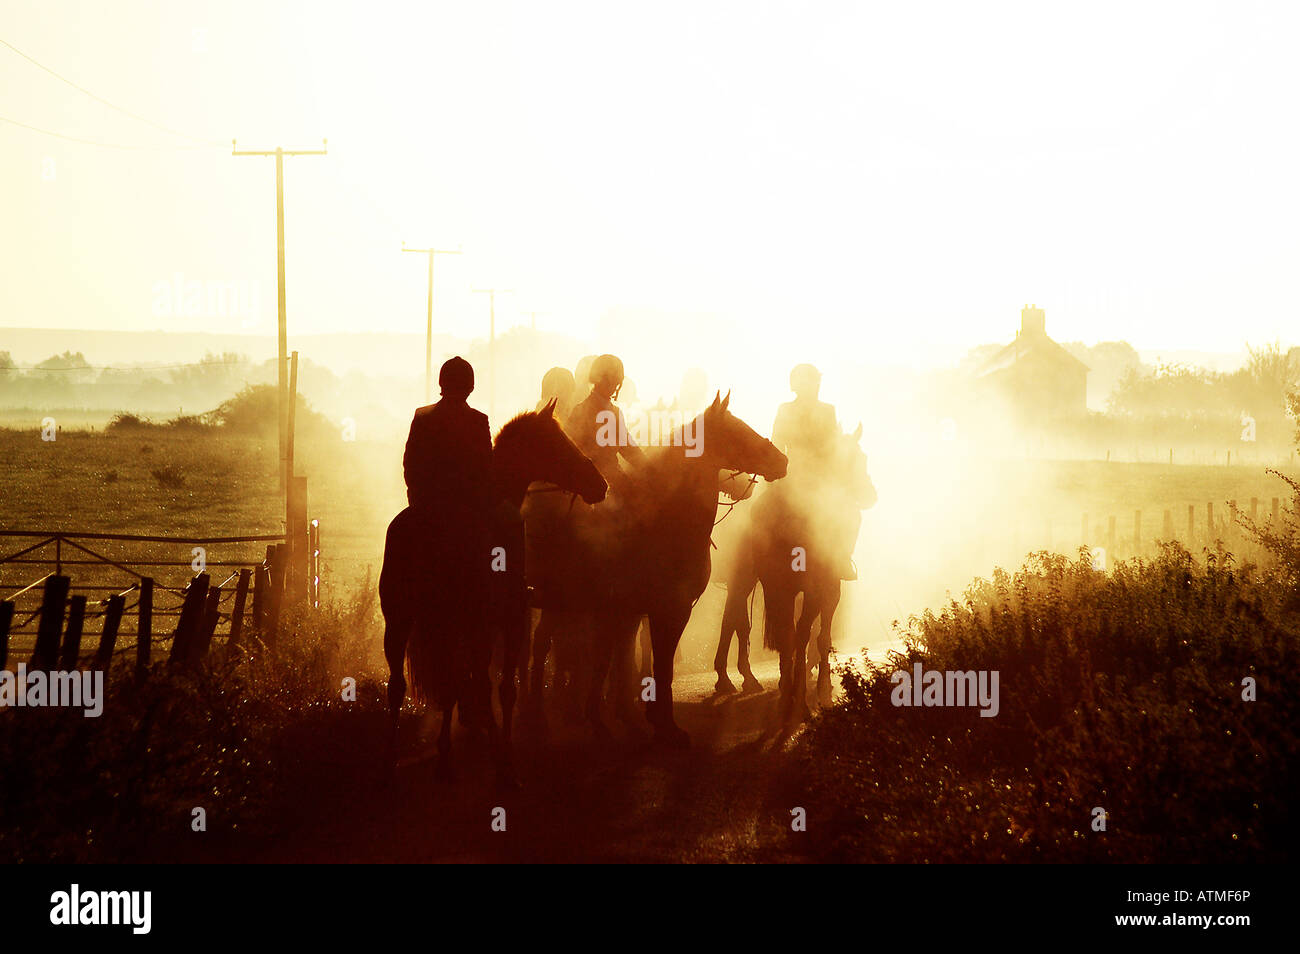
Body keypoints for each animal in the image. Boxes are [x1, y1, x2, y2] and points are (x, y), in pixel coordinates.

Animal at [382, 402, 605, 785]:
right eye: (558, 441)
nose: (599, 483)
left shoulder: (506, 621)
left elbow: (502, 688)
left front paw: (504, 759)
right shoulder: (478, 624)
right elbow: (474, 685)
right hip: (402, 623)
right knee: (403, 686)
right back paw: (396, 760)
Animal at [525, 392, 780, 748]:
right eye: (737, 431)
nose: (782, 461)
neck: (668, 520)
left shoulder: (633, 610)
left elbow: (626, 658)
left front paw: (637, 717)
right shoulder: (670, 608)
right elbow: (661, 661)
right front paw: (665, 724)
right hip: (555, 600)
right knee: (543, 647)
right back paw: (540, 716)